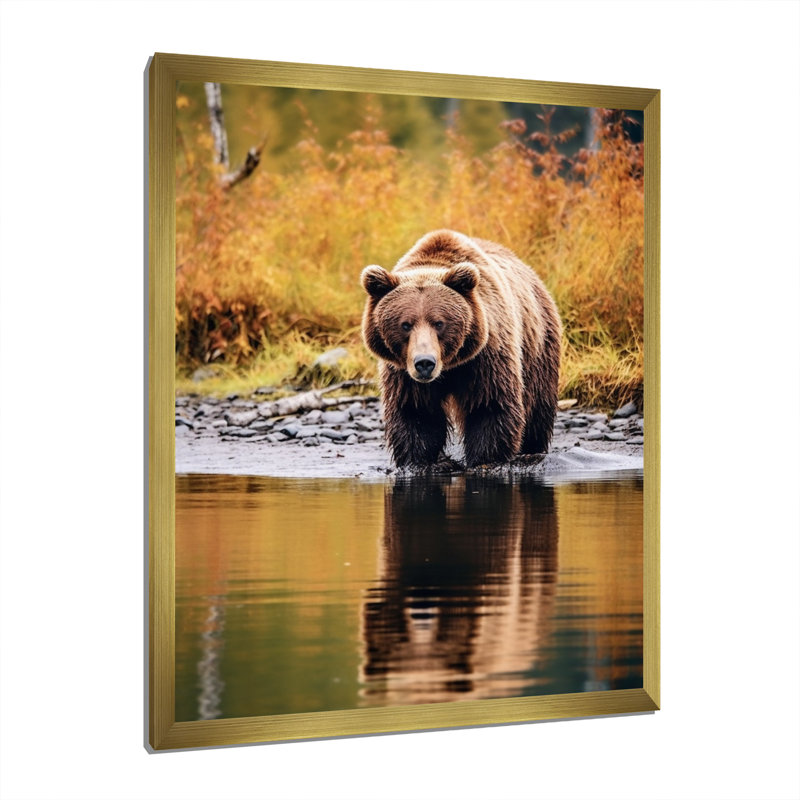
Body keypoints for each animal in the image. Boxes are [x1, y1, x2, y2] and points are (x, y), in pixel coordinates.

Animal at [360, 230, 561, 468]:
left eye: (439, 323)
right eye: (406, 324)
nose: (425, 363)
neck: (449, 366)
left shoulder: (486, 356)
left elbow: (488, 404)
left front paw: (485, 459)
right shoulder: (403, 371)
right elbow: (417, 412)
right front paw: (421, 461)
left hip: (538, 345)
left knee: (537, 404)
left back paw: (532, 449)